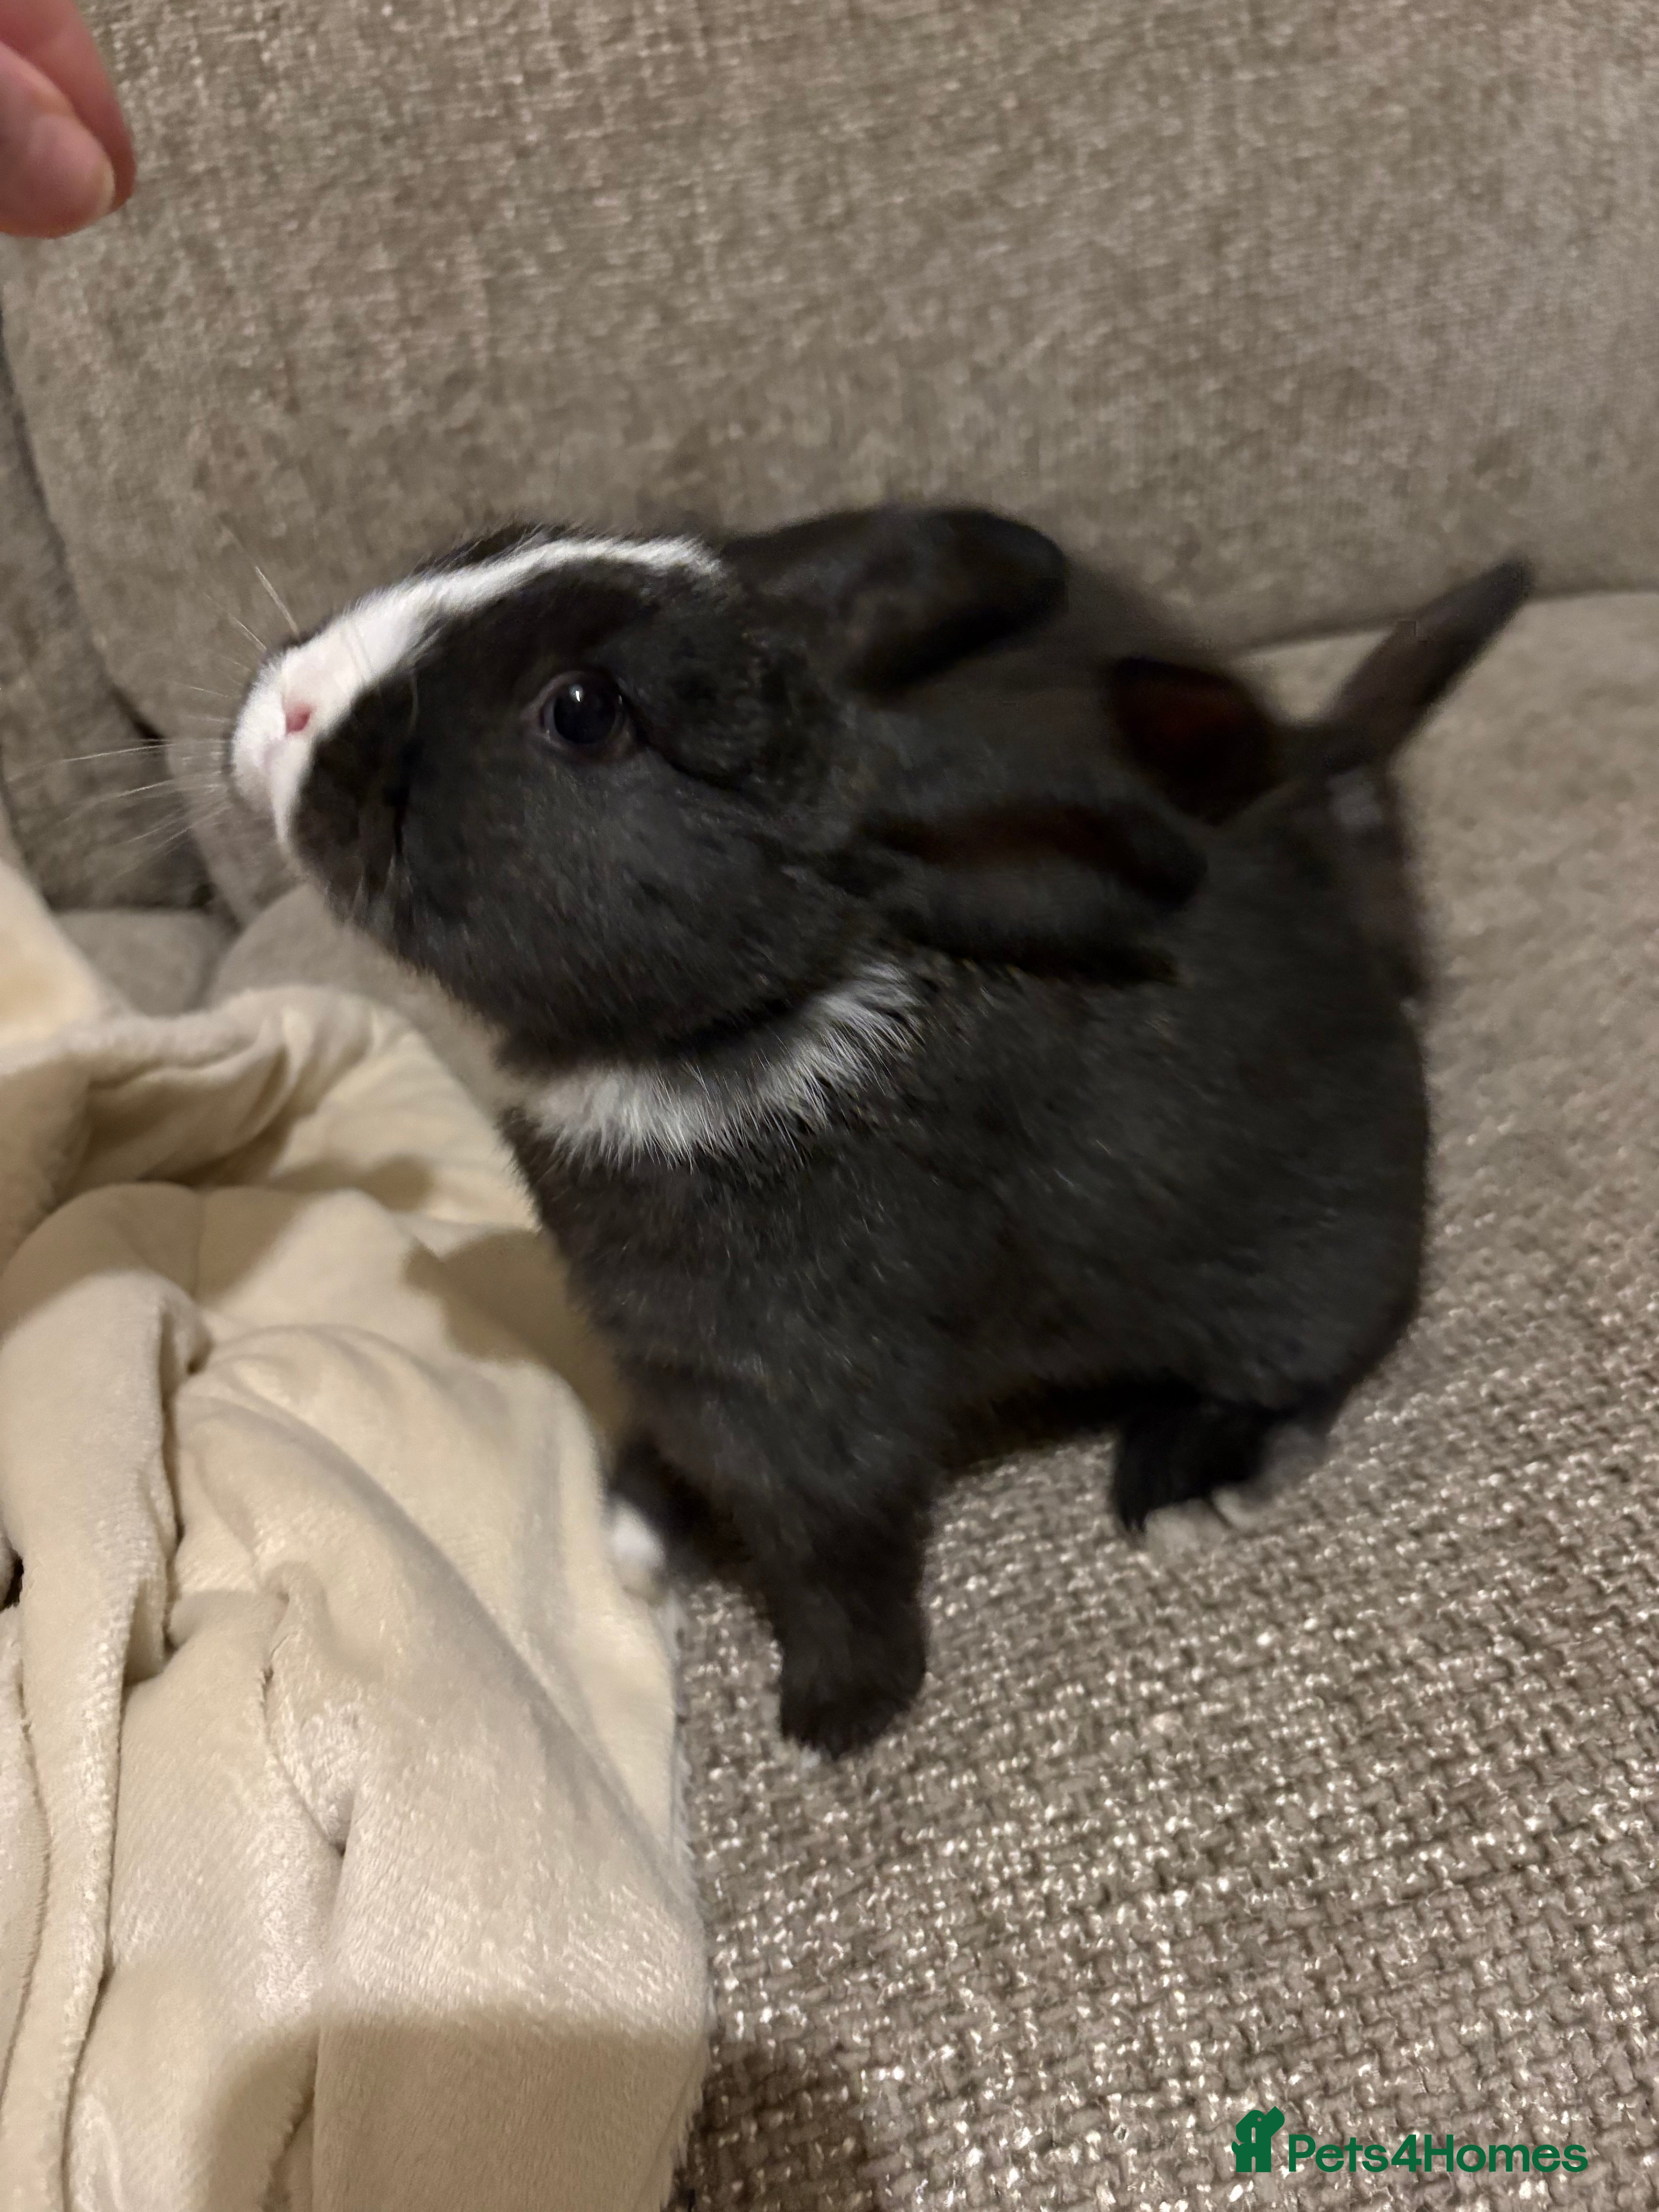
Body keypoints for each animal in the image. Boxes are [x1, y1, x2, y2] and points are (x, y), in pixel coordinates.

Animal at [228, 508, 1527, 1755]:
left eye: (586, 712)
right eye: (493, 542)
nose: (286, 711)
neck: (739, 1020)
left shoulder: (803, 1403)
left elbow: (833, 1557)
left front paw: (837, 1714)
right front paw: (638, 1520)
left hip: (1296, 1272)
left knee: (1315, 1363)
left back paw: (1189, 1477)